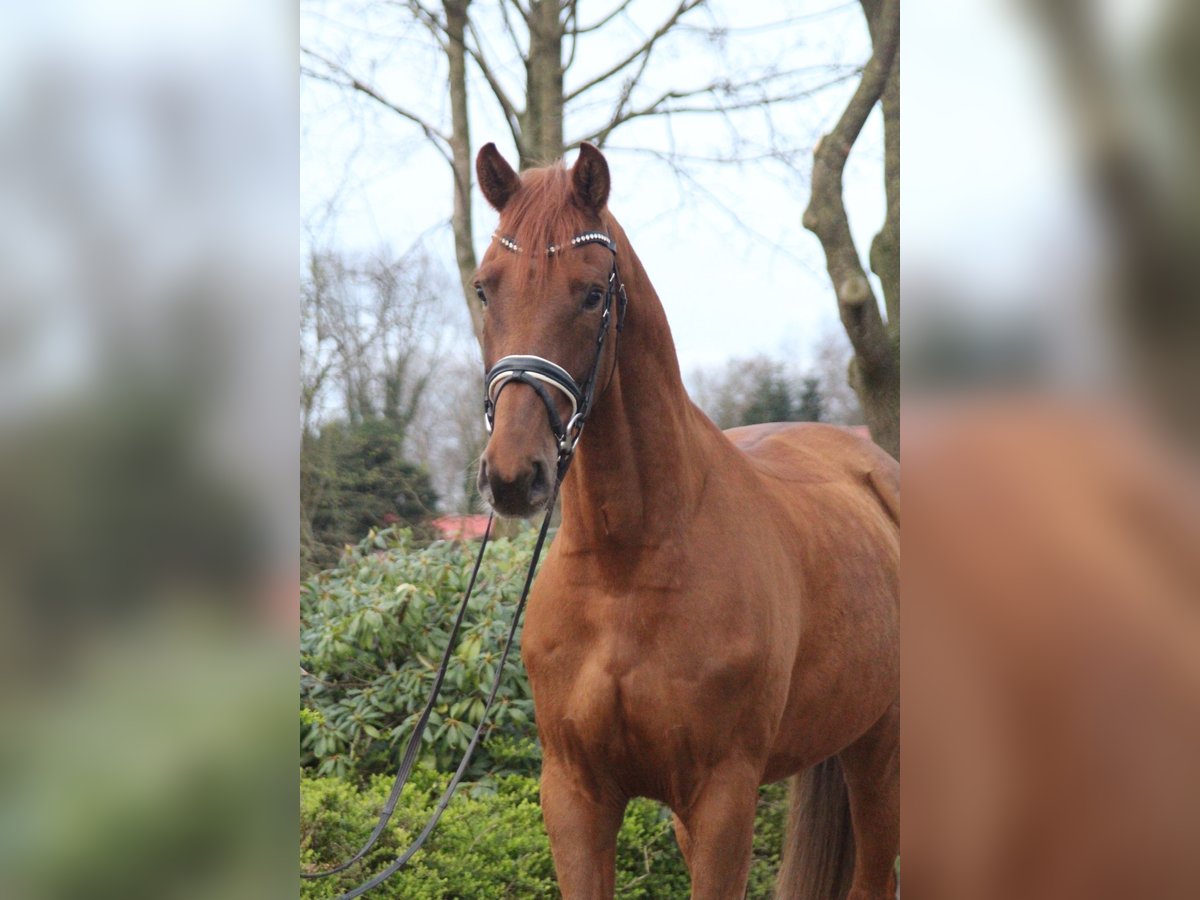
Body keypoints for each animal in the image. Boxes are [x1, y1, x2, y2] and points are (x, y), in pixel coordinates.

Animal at [472, 142, 897, 900]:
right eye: (485, 288)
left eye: (591, 292)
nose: (515, 476)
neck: (627, 567)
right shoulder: (576, 796)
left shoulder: (723, 796)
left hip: (882, 755)